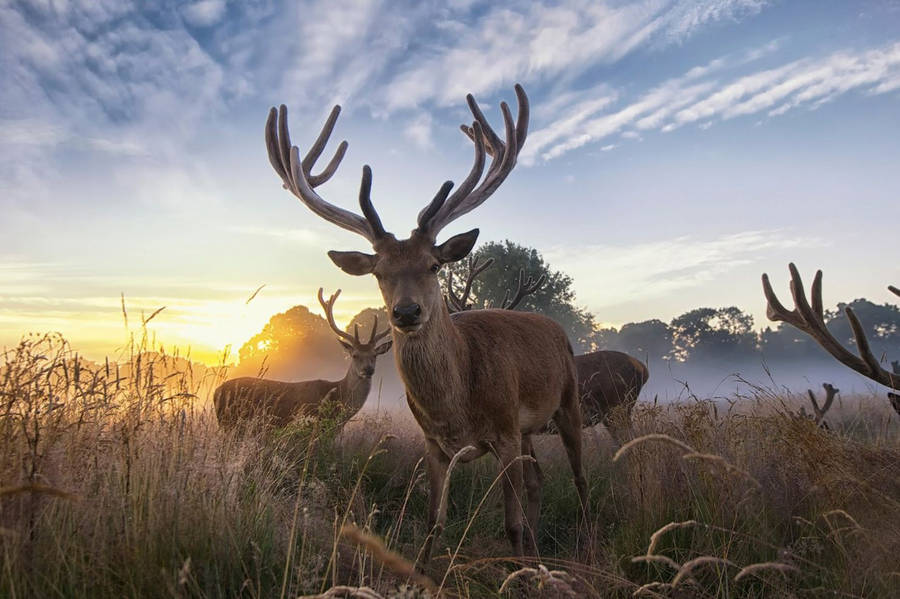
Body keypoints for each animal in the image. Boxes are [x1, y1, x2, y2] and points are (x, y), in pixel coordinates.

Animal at [264, 84, 587, 562]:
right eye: (379, 272)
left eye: (434, 265)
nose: (406, 312)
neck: (457, 405)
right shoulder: (434, 444)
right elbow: (435, 521)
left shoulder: (505, 431)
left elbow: (509, 524)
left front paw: (517, 562)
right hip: (529, 429)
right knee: (538, 480)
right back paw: (536, 549)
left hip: (568, 402)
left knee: (579, 480)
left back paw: (582, 539)